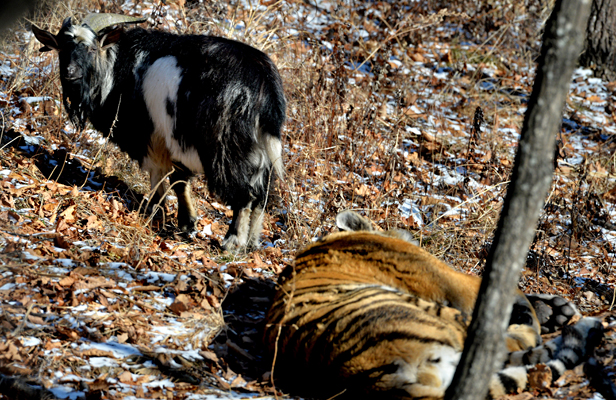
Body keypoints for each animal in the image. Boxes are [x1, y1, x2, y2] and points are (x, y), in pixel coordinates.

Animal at [31, 13, 286, 250]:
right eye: (62, 49)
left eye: (92, 48)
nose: (70, 72)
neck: (117, 68)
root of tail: (264, 82)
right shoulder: (170, 140)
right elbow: (179, 179)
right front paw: (186, 222)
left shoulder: (152, 136)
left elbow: (161, 174)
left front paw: (158, 213)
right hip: (259, 150)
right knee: (262, 194)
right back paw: (252, 242)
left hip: (225, 146)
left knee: (245, 194)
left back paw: (233, 241)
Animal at [264, 211, 600, 398]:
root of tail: (371, 380)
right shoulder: (449, 278)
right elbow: (505, 290)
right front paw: (540, 311)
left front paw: (557, 309)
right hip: (427, 313)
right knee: (511, 343)